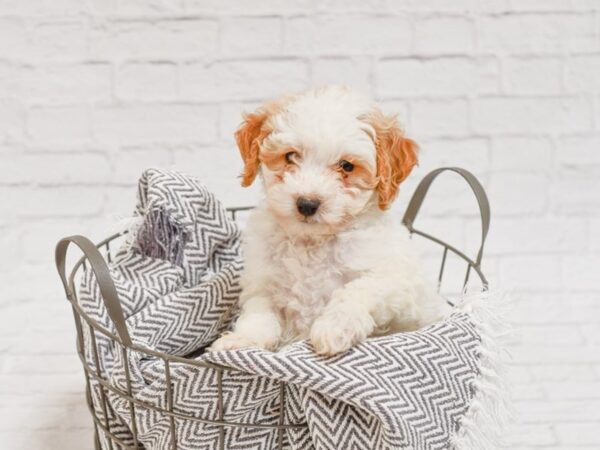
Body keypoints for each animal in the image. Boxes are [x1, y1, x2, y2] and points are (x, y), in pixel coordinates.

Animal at [210, 87, 440, 356]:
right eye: (290, 156)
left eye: (347, 166)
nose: (307, 204)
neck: (313, 243)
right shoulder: (263, 284)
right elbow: (259, 316)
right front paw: (241, 340)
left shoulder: (398, 281)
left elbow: (358, 289)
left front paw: (334, 327)